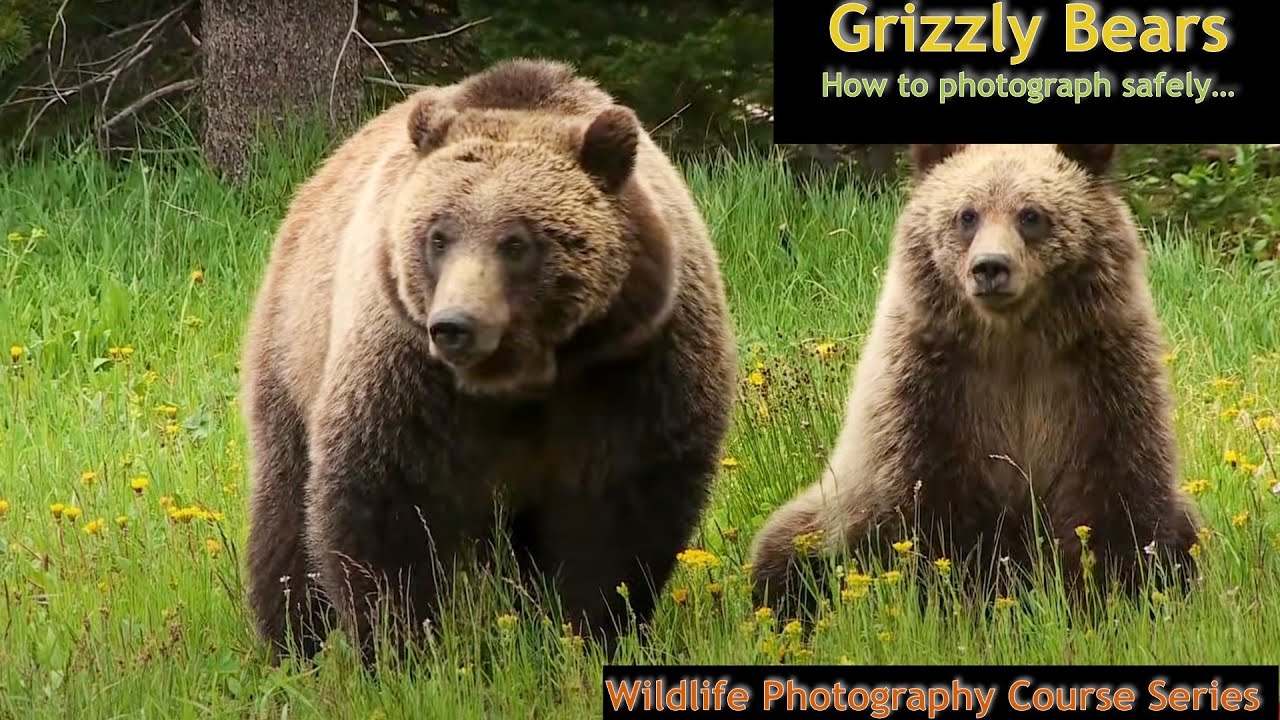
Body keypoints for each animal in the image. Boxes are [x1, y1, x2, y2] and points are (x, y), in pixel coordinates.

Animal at [239, 59, 737, 662]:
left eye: (516, 241)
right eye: (438, 236)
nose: (455, 325)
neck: (522, 379)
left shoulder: (632, 364)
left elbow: (618, 514)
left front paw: (588, 633)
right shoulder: (408, 373)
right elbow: (387, 503)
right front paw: (401, 648)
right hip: (294, 349)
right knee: (286, 511)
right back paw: (291, 642)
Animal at [748, 144, 1200, 620]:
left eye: (1031, 214)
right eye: (967, 215)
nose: (990, 267)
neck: (1013, 343)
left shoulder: (1097, 380)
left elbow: (1116, 497)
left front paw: (1112, 599)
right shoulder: (930, 392)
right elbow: (930, 514)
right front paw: (960, 603)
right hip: (832, 509)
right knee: (787, 552)